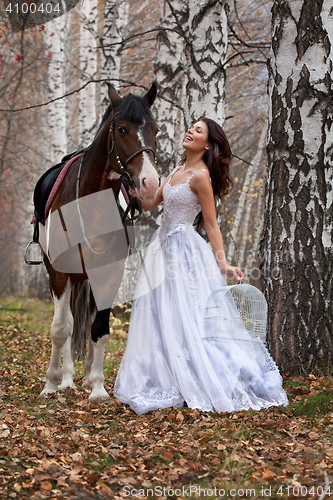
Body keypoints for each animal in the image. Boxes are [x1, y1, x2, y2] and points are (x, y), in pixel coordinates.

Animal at [34, 83, 159, 402]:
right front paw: (51, 383)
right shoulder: (59, 274)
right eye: (122, 129)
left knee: (87, 319)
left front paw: (98, 386)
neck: (92, 204)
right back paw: (66, 379)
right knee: (67, 323)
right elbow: (60, 328)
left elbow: (99, 329)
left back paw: (88, 374)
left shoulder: (109, 272)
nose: (150, 182)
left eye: (155, 129)